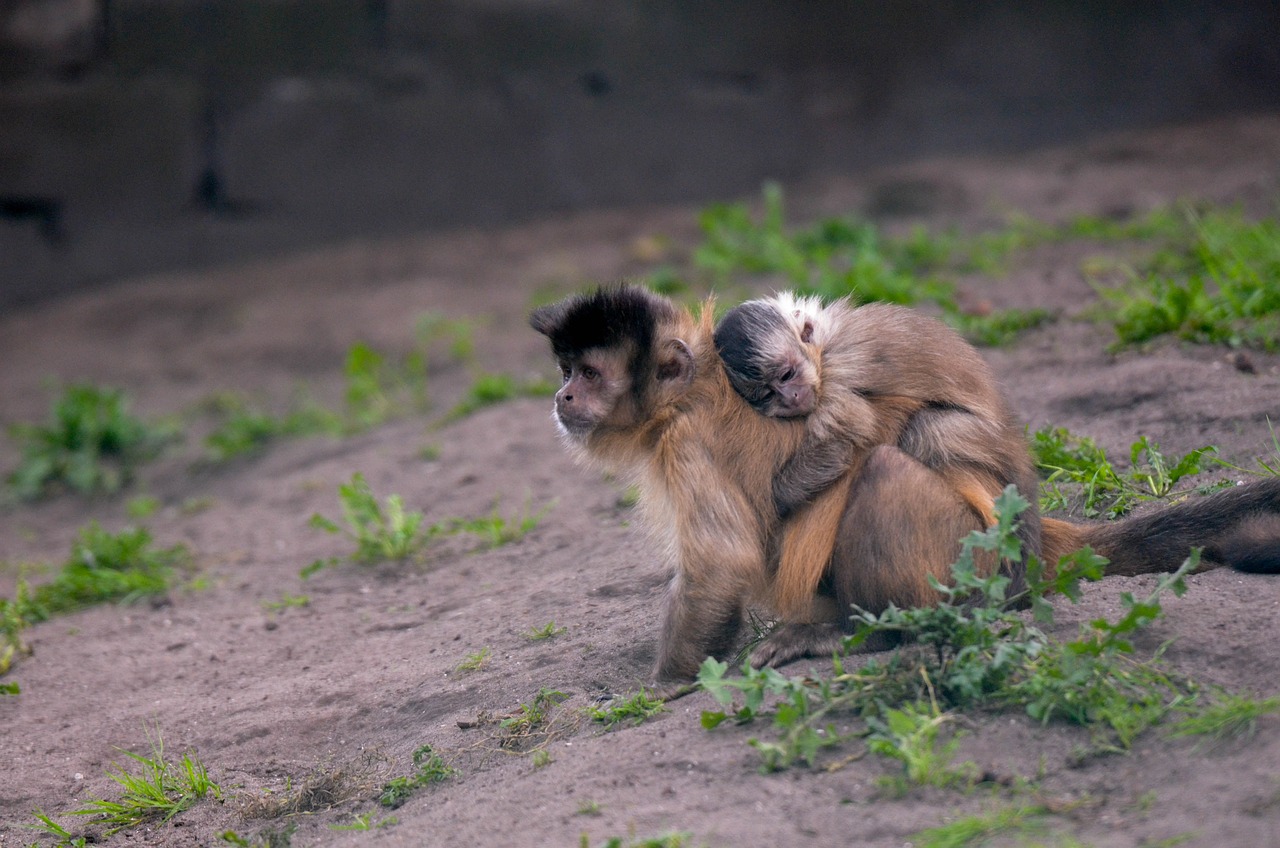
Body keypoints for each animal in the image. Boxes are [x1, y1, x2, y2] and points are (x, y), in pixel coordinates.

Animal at [529, 285, 1280, 686]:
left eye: (587, 375)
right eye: (566, 370)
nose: (562, 397)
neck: (683, 396)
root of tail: (1033, 538)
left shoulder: (687, 445)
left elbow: (721, 562)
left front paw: (669, 685)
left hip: (976, 554)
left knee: (885, 468)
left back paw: (879, 635)